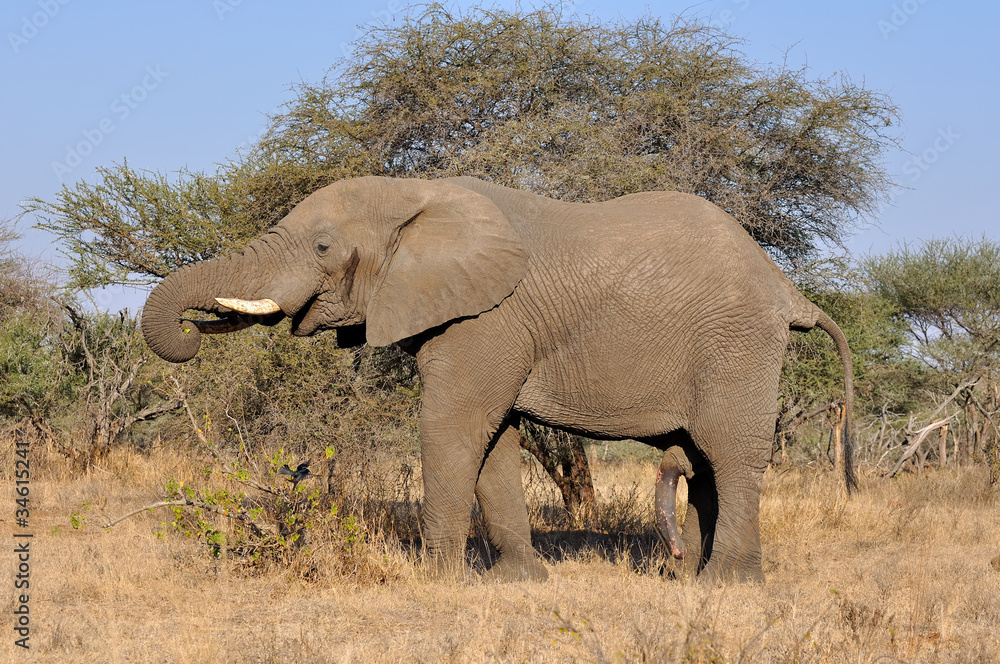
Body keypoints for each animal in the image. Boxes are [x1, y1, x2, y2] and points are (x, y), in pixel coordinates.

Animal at [141, 175, 855, 583]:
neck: (418, 195)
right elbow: (496, 439)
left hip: (738, 343)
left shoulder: (489, 316)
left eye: (321, 246)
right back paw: (694, 580)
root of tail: (789, 291)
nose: (193, 329)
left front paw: (436, 583)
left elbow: (453, 423)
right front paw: (520, 582)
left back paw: (726, 586)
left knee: (730, 453)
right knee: (703, 460)